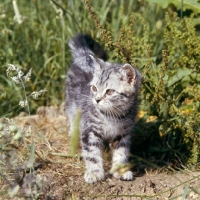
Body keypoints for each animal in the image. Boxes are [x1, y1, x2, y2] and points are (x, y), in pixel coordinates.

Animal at [66, 33, 141, 184]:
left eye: (110, 91)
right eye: (94, 88)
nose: (97, 99)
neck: (113, 116)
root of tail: (83, 56)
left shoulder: (123, 133)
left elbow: (121, 152)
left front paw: (120, 170)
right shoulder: (89, 130)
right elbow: (92, 154)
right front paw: (94, 172)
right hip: (72, 104)